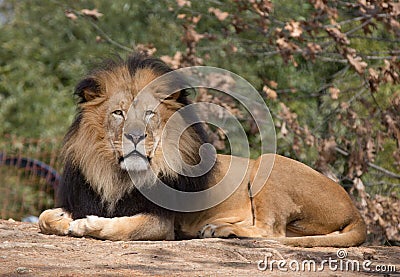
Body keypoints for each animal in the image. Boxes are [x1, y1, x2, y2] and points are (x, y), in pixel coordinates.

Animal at [39, 54, 368, 246]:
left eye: (149, 114)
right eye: (118, 113)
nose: (134, 136)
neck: (118, 175)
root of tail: (355, 210)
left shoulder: (162, 223)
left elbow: (120, 228)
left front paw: (86, 224)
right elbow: (43, 217)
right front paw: (63, 219)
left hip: (270, 161)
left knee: (272, 231)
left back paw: (222, 231)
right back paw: (215, 228)